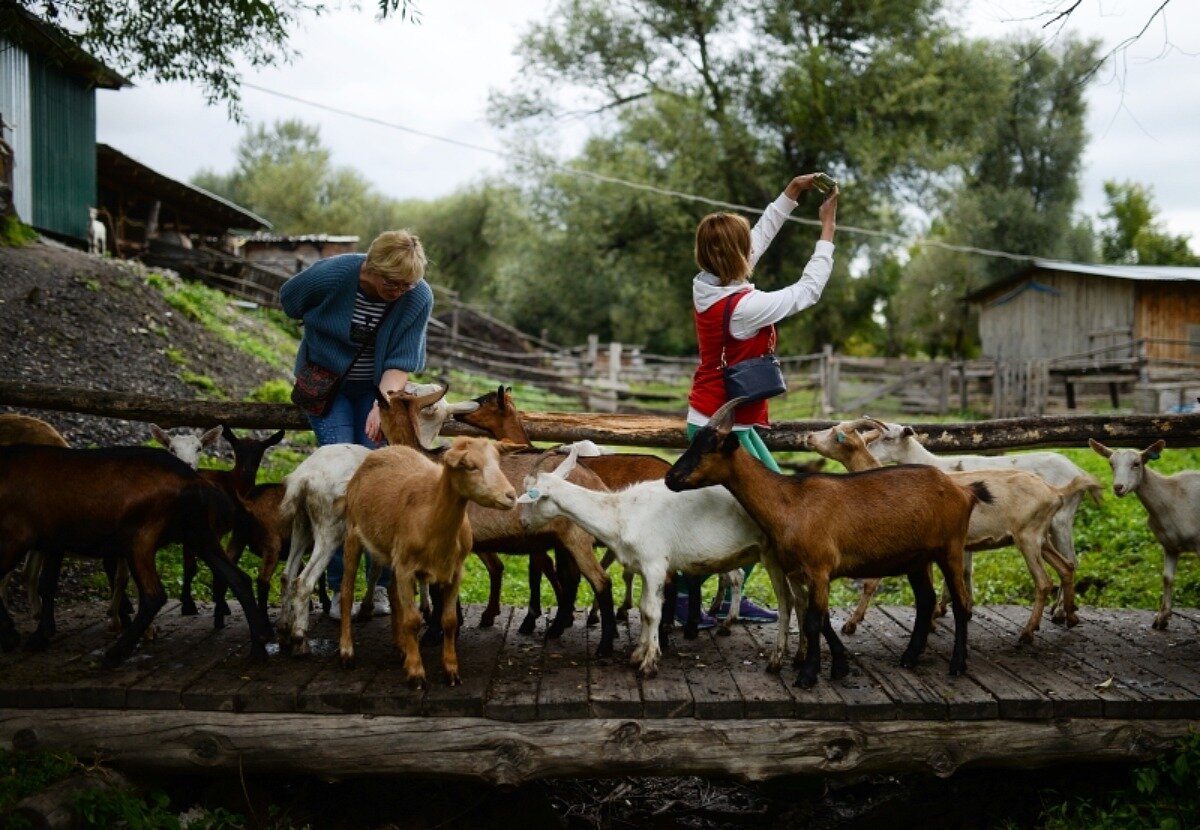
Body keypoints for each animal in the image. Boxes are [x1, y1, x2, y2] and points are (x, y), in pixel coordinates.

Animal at [343, 436, 520, 686]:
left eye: (498, 461)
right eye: (470, 466)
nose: (511, 495)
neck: (430, 521)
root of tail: (383, 450)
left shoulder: (454, 570)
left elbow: (449, 621)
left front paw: (451, 671)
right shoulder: (406, 569)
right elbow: (412, 621)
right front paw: (416, 673)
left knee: (392, 592)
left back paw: (401, 647)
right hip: (352, 532)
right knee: (346, 592)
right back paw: (347, 653)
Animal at [516, 450, 787, 676]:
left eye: (530, 496)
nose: (522, 523)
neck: (620, 514)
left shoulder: (655, 563)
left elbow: (652, 611)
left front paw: (649, 663)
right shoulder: (644, 568)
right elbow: (645, 609)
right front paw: (638, 654)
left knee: (787, 604)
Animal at [662, 398, 988, 686]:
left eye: (708, 447)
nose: (670, 478)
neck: (790, 502)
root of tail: (963, 491)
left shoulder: (819, 568)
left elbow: (813, 621)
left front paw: (808, 675)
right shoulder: (801, 571)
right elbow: (819, 617)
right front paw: (838, 666)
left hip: (951, 549)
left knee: (961, 603)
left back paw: (957, 664)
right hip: (917, 558)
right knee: (925, 600)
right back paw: (909, 657)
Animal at [1094, 441, 1195, 628]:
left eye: (1137, 463)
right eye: (1111, 464)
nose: (1118, 487)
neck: (1172, 497)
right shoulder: (1170, 545)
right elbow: (1167, 578)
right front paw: (1162, 619)